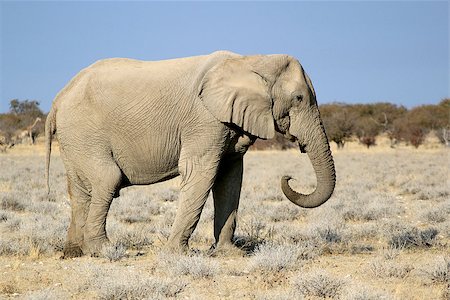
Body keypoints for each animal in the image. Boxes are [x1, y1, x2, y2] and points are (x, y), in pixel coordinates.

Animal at [45, 50, 336, 256]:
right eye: (298, 98)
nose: (289, 177)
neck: (253, 60)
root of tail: (58, 99)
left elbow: (230, 179)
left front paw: (230, 254)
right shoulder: (204, 121)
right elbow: (201, 174)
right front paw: (176, 254)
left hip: (75, 139)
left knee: (80, 191)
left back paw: (73, 253)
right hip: (84, 132)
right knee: (107, 179)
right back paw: (104, 250)